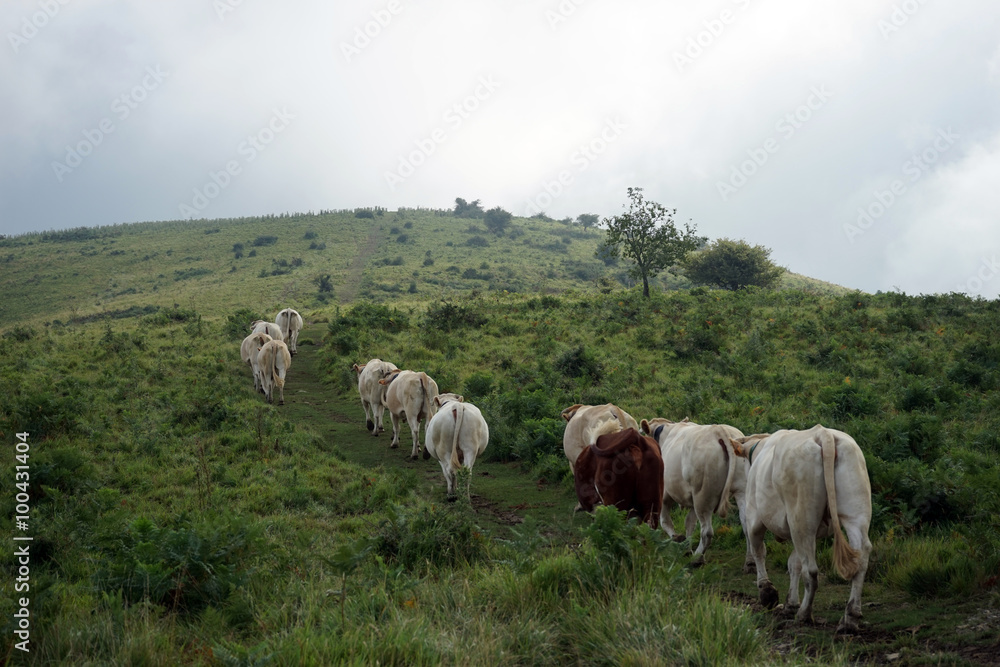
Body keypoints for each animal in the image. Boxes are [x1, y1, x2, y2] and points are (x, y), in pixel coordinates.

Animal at [640, 418, 752, 568]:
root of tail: (719, 430)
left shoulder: (663, 495)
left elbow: (665, 522)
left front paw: (677, 539)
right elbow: (689, 523)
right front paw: (686, 547)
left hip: (702, 495)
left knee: (707, 532)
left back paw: (697, 558)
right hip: (741, 490)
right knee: (746, 524)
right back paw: (750, 561)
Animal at [736, 426, 876, 636]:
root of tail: (823, 433)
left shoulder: (754, 516)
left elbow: (759, 551)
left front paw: (767, 593)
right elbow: (793, 562)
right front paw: (789, 603)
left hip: (801, 517)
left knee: (810, 570)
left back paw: (804, 614)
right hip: (854, 512)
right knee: (861, 555)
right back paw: (849, 618)